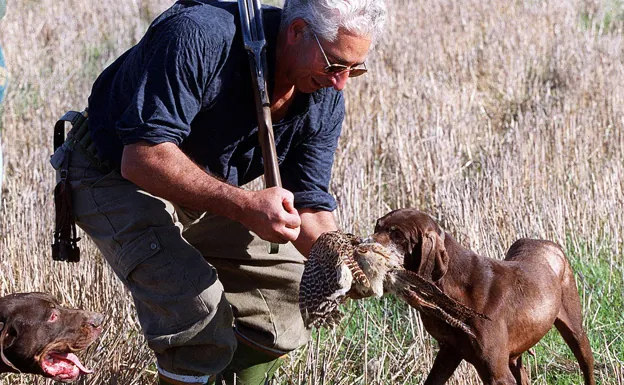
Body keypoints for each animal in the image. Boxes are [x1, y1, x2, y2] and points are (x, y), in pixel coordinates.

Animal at [368, 208, 596, 384]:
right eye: (377, 226)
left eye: (398, 235)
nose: (364, 244)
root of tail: (550, 244)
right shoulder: (449, 352)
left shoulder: (497, 374)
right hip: (514, 356)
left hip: (575, 331)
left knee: (587, 365)